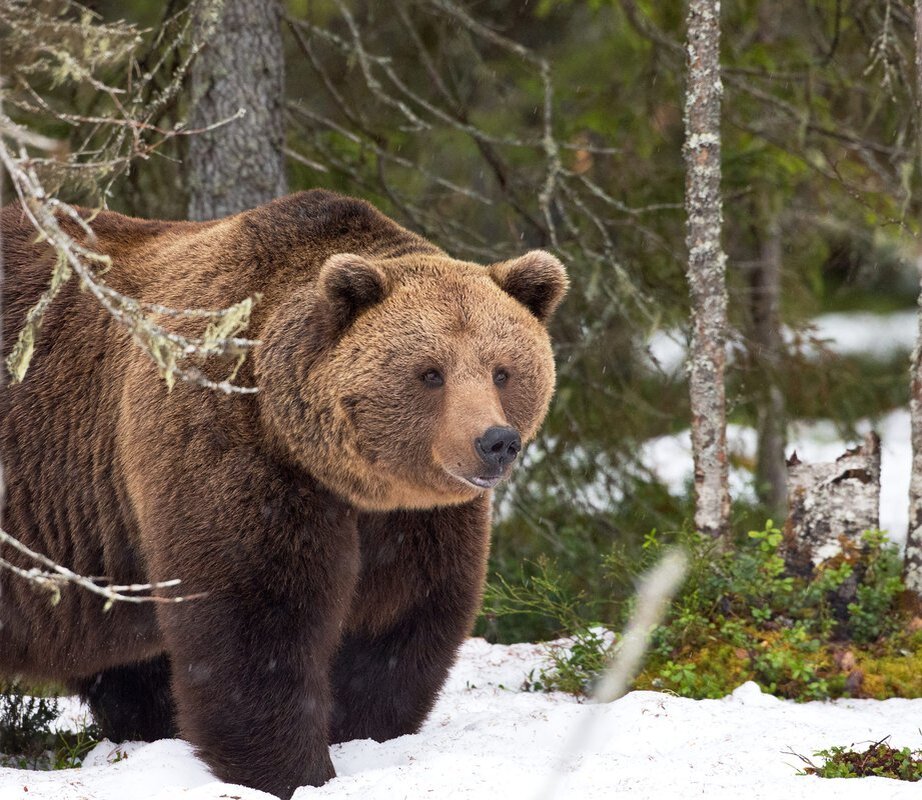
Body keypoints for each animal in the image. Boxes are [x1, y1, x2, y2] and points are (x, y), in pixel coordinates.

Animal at [0, 191, 564, 796]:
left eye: (503, 371)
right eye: (430, 373)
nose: (495, 442)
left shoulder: (416, 518)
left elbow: (403, 618)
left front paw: (364, 737)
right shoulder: (233, 448)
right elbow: (255, 619)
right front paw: (293, 770)